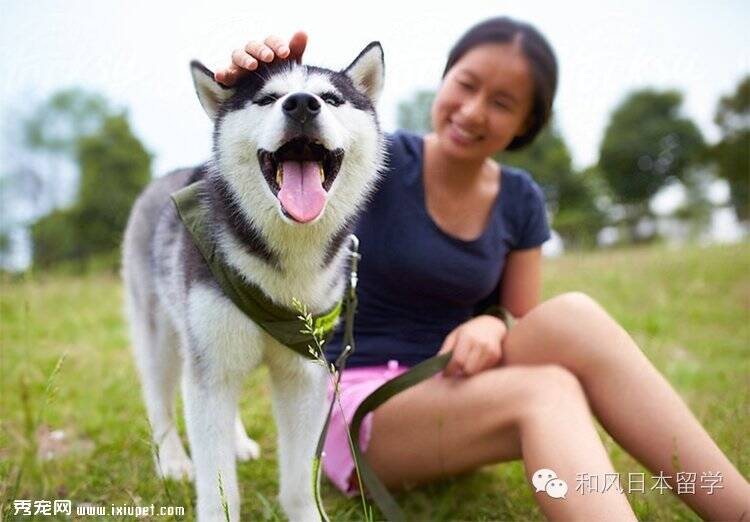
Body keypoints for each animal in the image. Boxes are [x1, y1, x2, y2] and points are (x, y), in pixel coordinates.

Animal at [122, 43, 384, 516]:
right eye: (268, 98)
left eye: (331, 98)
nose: (302, 104)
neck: (286, 262)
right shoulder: (210, 365)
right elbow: (218, 484)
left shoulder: (304, 371)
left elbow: (299, 479)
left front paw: (305, 515)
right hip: (163, 335)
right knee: (159, 396)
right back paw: (172, 459)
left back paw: (238, 441)